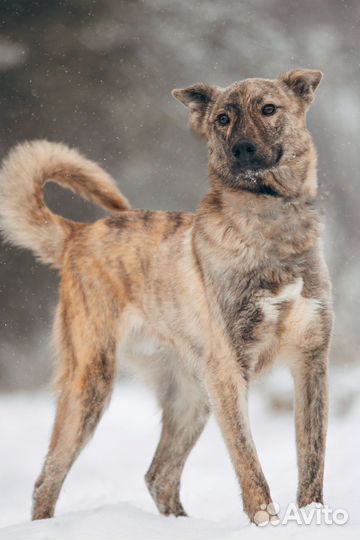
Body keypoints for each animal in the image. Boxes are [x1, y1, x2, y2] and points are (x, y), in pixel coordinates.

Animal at [0, 67, 332, 524]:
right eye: (223, 119)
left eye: (268, 109)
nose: (242, 149)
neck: (273, 229)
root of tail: (77, 234)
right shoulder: (230, 371)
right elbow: (249, 462)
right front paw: (265, 523)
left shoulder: (311, 362)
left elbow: (312, 461)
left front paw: (314, 516)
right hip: (92, 383)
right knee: (48, 477)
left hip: (191, 397)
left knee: (159, 475)